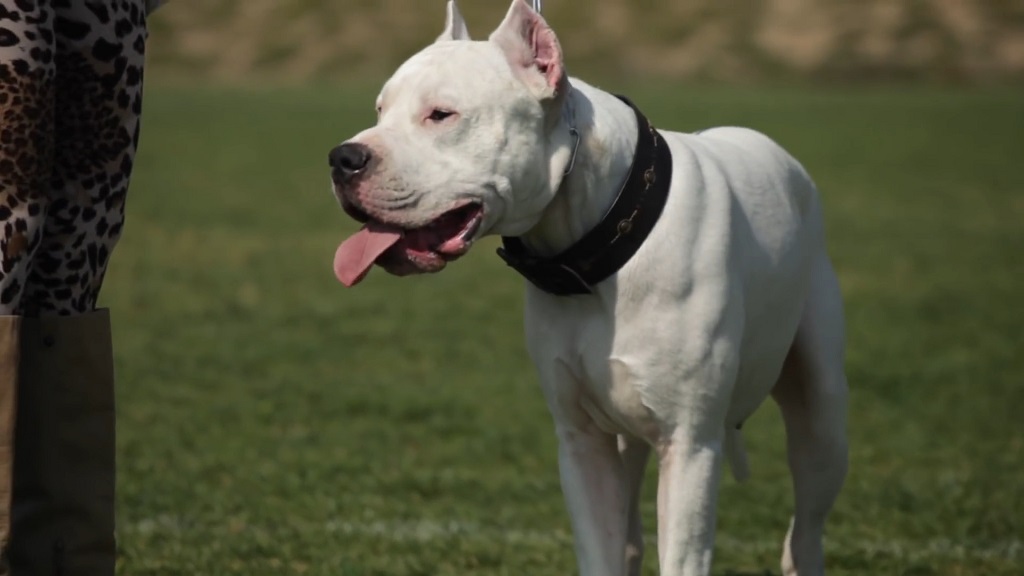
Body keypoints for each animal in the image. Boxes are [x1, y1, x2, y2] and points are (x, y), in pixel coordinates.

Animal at [327, 2, 847, 569]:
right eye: (380, 110)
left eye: (441, 115)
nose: (343, 158)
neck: (602, 241)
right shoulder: (582, 443)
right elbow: (600, 550)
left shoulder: (689, 446)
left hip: (821, 421)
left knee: (805, 530)